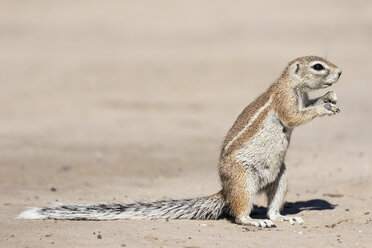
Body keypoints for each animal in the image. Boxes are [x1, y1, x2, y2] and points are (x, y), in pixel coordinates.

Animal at [18, 55, 342, 228]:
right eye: (318, 66)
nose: (340, 72)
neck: (291, 83)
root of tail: (225, 190)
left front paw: (328, 100)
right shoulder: (284, 101)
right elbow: (293, 117)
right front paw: (323, 107)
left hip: (281, 176)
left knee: (272, 205)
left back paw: (282, 217)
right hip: (243, 179)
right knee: (239, 214)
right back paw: (255, 220)